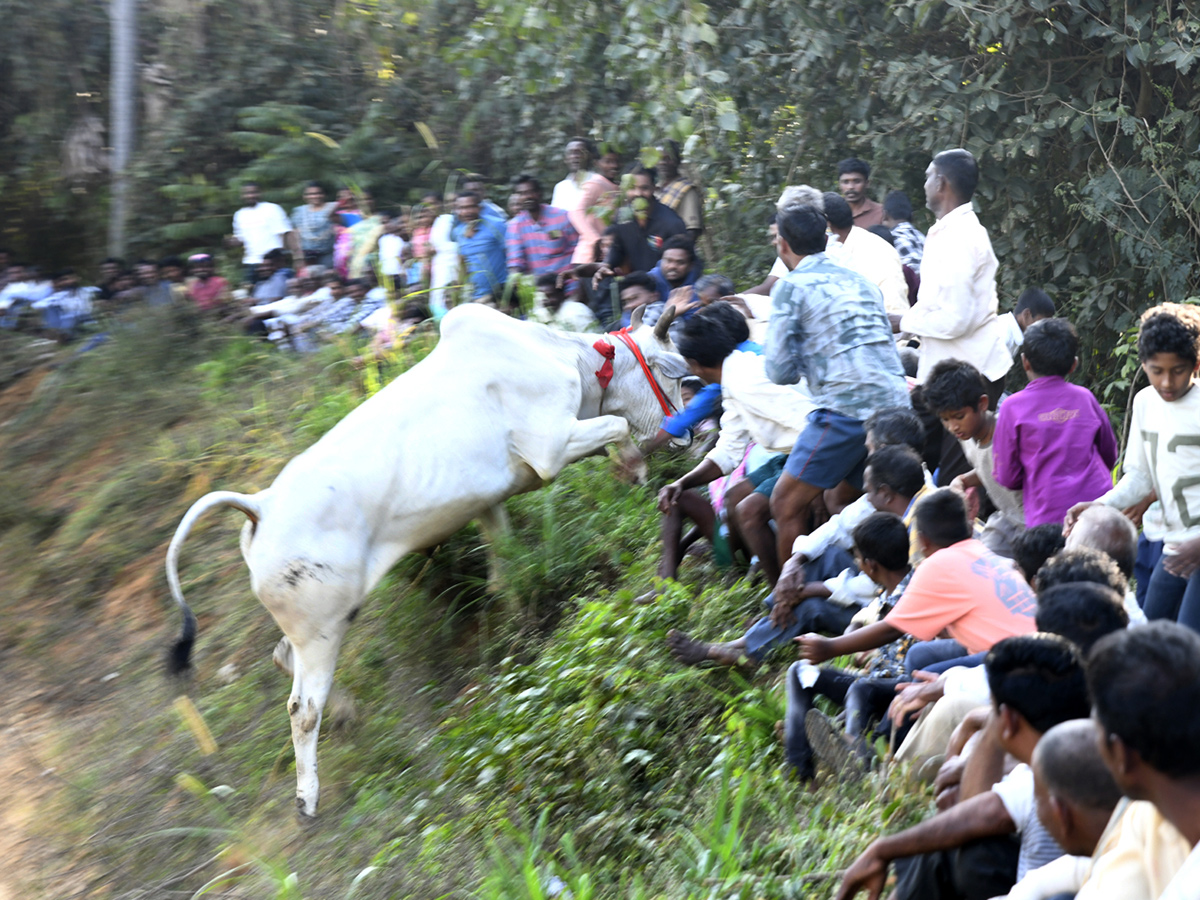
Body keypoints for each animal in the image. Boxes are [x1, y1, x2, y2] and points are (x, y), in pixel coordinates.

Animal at [164, 303, 686, 816]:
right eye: (675, 375)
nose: (687, 432)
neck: (563, 357)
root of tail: (261, 505)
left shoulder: (488, 502)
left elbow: (506, 570)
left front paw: (521, 619)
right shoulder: (552, 447)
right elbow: (618, 426)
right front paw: (633, 469)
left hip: (320, 625)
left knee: (281, 658)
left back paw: (346, 714)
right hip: (322, 630)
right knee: (303, 708)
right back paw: (307, 797)